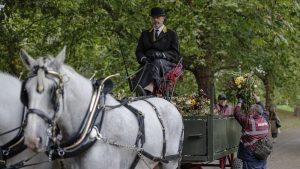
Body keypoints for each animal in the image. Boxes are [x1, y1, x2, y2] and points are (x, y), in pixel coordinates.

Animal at [19, 47, 184, 169]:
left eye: (53, 91)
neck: (93, 122)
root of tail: (166, 101)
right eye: (25, 91)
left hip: (171, 162)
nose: (32, 139)